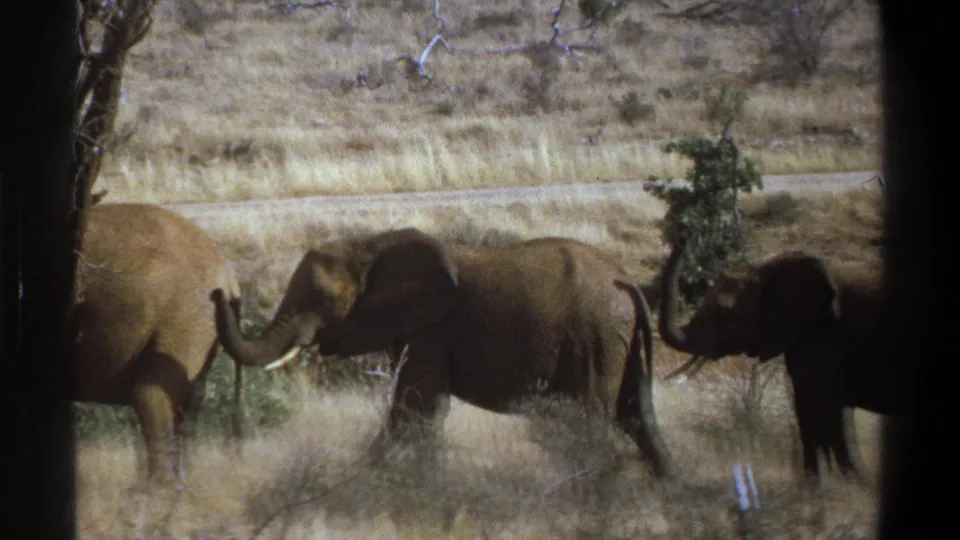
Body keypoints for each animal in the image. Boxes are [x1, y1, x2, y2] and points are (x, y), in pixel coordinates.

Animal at [210, 227, 675, 479]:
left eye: (322, 300)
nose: (220, 293)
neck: (370, 244)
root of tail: (629, 285)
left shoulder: (431, 330)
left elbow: (414, 408)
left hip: (595, 337)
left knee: (592, 419)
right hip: (618, 340)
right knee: (638, 416)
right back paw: (670, 489)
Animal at [656, 239, 905, 482]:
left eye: (723, 314)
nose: (682, 243)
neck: (765, 271)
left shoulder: (829, 335)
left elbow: (830, 409)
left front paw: (850, 484)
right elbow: (807, 408)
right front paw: (817, 486)